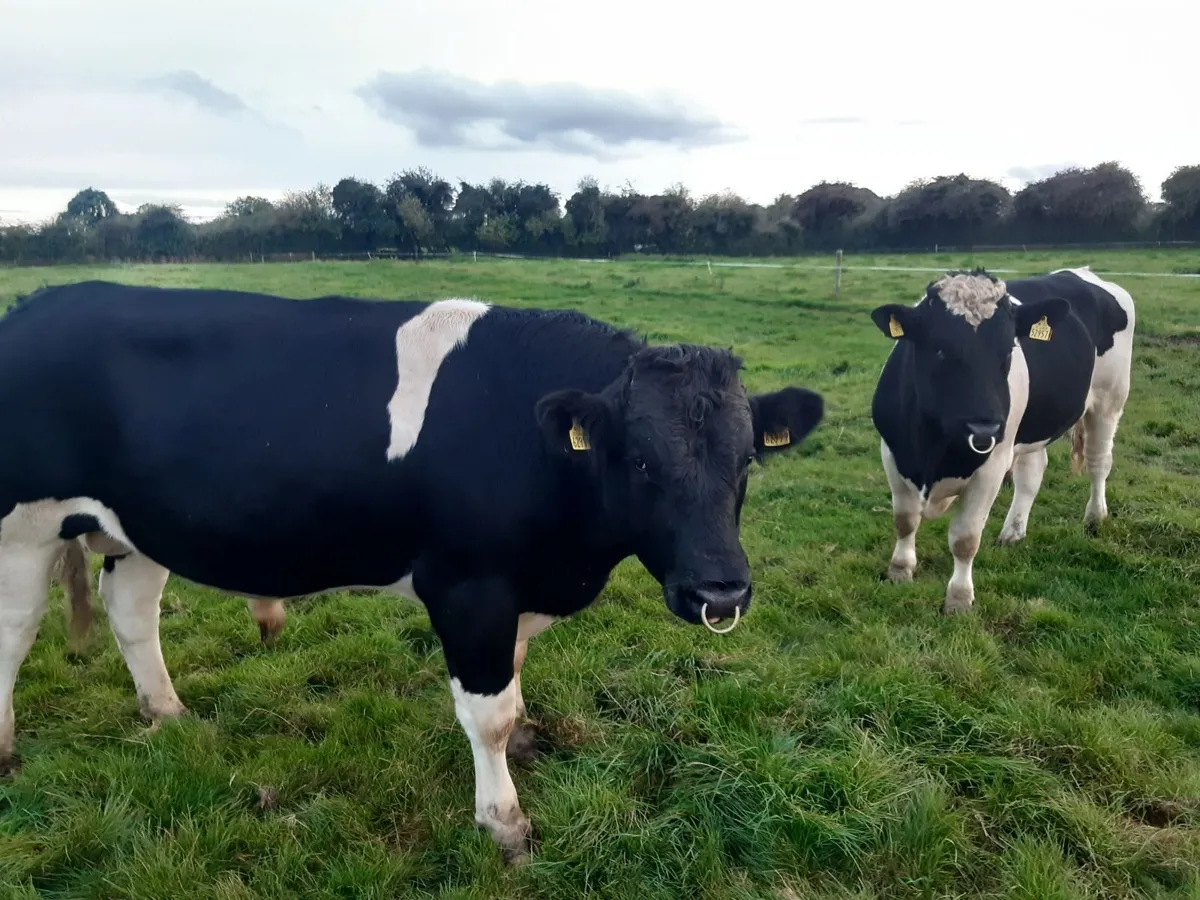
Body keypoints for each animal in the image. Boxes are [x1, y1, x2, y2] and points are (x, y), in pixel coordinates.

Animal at [0, 280, 824, 862]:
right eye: (642, 461)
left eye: (746, 460)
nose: (721, 590)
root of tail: (41, 301)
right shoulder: (468, 584)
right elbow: (487, 712)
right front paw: (504, 821)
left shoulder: (514, 589)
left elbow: (511, 684)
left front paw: (524, 746)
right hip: (22, 529)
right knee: (15, 632)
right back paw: (7, 751)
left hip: (139, 527)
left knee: (131, 608)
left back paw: (167, 713)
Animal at [868, 267, 1134, 614]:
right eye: (939, 349)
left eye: (1008, 350)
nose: (985, 428)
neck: (933, 450)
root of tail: (1082, 272)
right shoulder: (893, 452)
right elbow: (905, 520)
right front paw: (900, 571)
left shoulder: (992, 466)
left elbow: (965, 538)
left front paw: (959, 599)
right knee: (1032, 474)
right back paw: (1013, 531)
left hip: (1109, 401)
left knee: (1098, 462)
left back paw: (1095, 516)